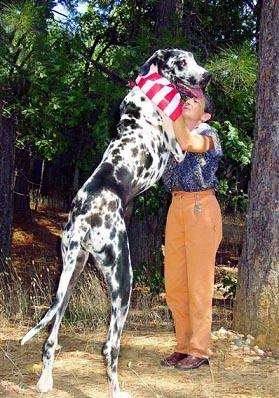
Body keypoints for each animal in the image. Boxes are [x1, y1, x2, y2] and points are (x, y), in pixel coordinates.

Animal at [21, 48, 210, 396]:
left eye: (194, 59)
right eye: (182, 62)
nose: (207, 77)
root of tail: (85, 218)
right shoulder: (176, 148)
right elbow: (178, 126)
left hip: (69, 275)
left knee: (51, 337)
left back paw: (45, 381)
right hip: (123, 279)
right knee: (110, 346)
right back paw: (117, 390)